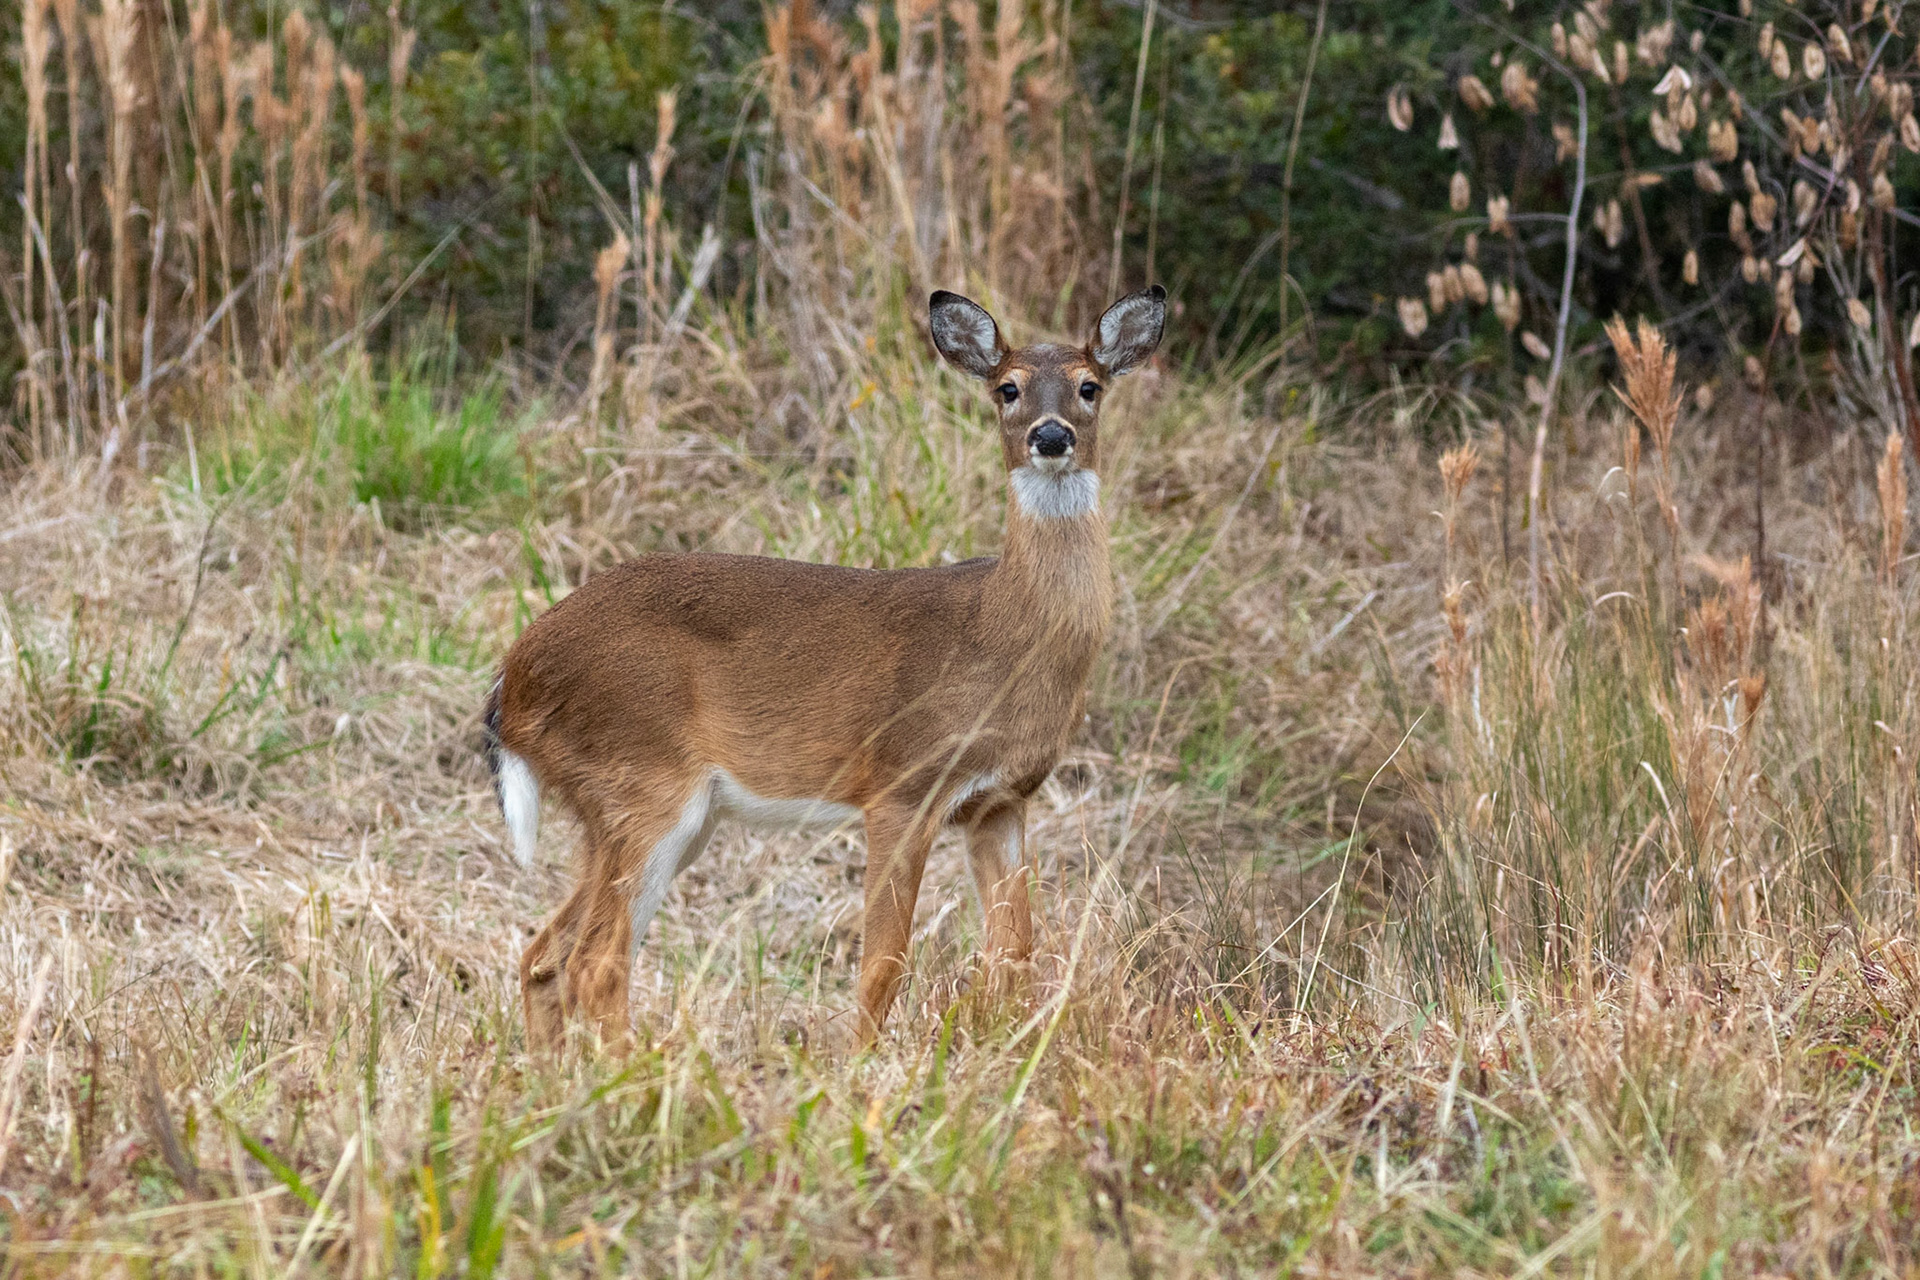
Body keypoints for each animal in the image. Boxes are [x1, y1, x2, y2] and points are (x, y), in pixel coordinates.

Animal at [482, 285, 1166, 1050]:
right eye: (1007, 388)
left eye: (1090, 386)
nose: (1051, 437)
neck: (999, 635)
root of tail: (513, 680)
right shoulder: (901, 782)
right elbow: (884, 963)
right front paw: (861, 1066)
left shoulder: (1002, 800)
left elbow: (1015, 953)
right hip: (641, 778)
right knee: (596, 961)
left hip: (650, 810)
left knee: (546, 953)